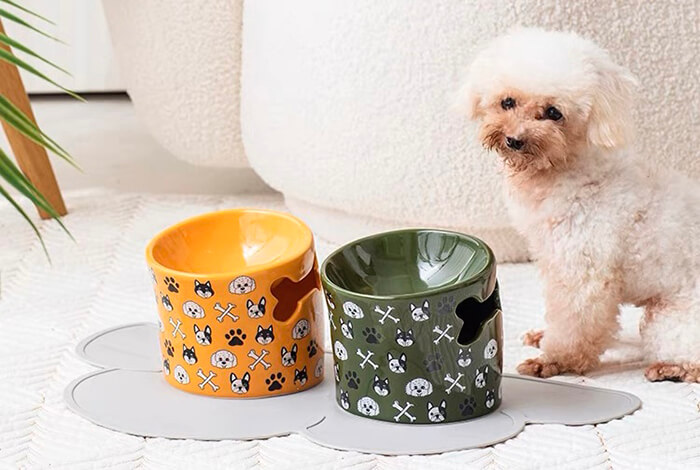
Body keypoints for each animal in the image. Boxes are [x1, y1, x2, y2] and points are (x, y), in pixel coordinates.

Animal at [462, 27, 696, 382]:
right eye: (507, 102)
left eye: (554, 113)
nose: (514, 140)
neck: (565, 169)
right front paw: (544, 337)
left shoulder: (583, 268)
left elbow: (575, 323)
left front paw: (554, 360)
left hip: (670, 318)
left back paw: (674, 367)